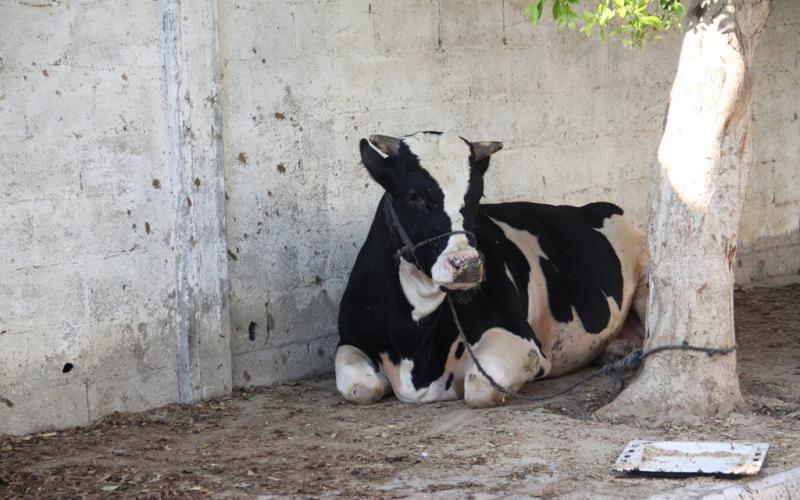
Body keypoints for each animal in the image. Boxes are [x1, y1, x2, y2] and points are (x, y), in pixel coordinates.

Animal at [334, 131, 648, 408]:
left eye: (477, 196)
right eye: (413, 196)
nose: (467, 264)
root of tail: (593, 206)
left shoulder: (522, 342)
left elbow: (480, 386)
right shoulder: (350, 340)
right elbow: (361, 387)